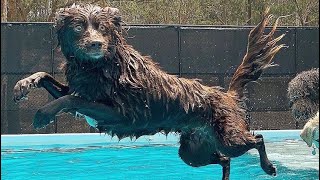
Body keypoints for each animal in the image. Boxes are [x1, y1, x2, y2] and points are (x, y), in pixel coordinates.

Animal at [14, 3, 284, 179]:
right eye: (79, 27)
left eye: (102, 28)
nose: (95, 44)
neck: (101, 65)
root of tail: (227, 95)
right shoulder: (86, 97)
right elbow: (52, 81)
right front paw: (23, 85)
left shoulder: (121, 115)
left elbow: (71, 99)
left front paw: (42, 115)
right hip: (192, 152)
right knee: (225, 159)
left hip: (227, 139)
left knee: (258, 139)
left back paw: (269, 167)